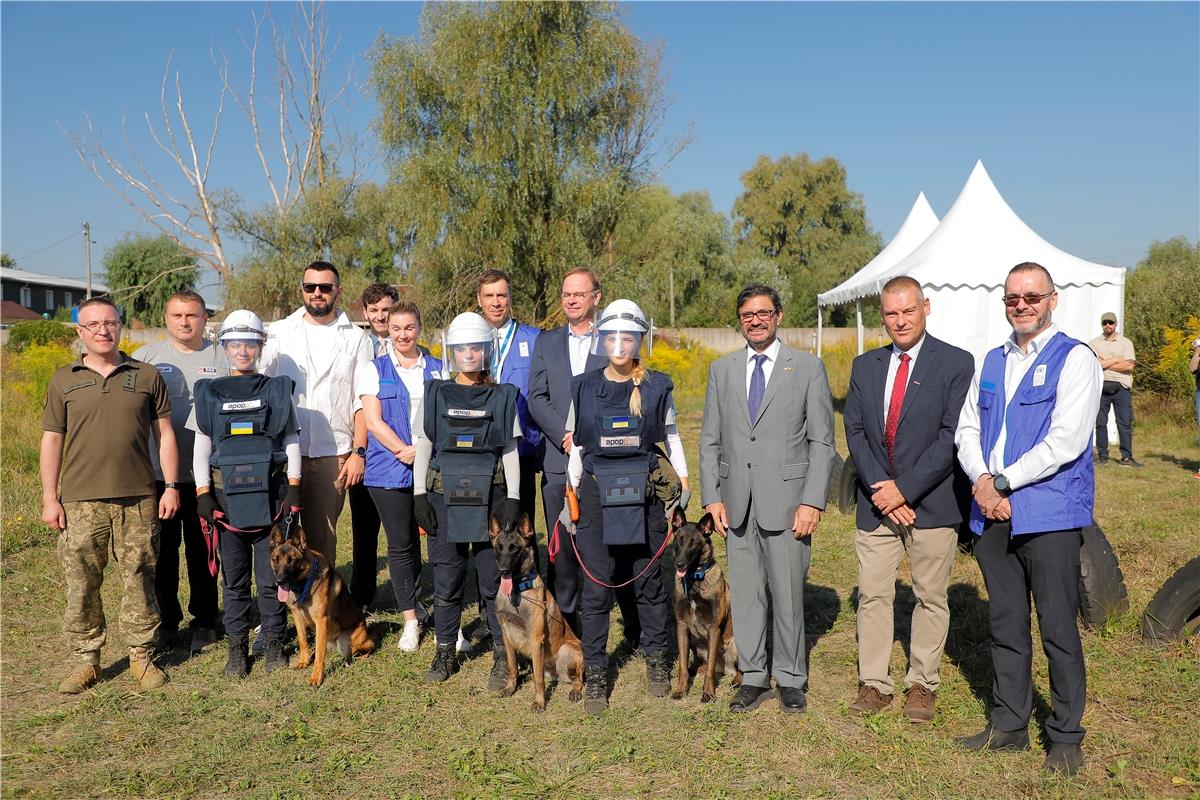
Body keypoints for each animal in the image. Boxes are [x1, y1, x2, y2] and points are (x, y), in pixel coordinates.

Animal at [271, 522, 374, 686]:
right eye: (276, 559)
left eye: (291, 560)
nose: (278, 581)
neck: (303, 585)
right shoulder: (297, 616)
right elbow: (303, 641)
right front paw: (303, 661)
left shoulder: (321, 620)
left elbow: (320, 654)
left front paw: (316, 677)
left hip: (348, 641)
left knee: (369, 646)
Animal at [484, 513, 583, 714]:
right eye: (499, 548)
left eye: (515, 549)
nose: (503, 570)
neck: (517, 592)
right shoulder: (507, 636)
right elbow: (512, 667)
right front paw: (511, 687)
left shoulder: (536, 640)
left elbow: (539, 680)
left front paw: (539, 702)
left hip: (565, 651)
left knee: (576, 679)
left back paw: (575, 692)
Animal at [672, 510, 734, 705]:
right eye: (679, 540)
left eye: (694, 543)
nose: (679, 564)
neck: (694, 581)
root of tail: (727, 668)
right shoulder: (682, 627)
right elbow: (683, 667)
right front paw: (681, 690)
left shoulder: (713, 629)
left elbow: (710, 672)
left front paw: (708, 693)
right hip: (695, 643)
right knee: (708, 667)